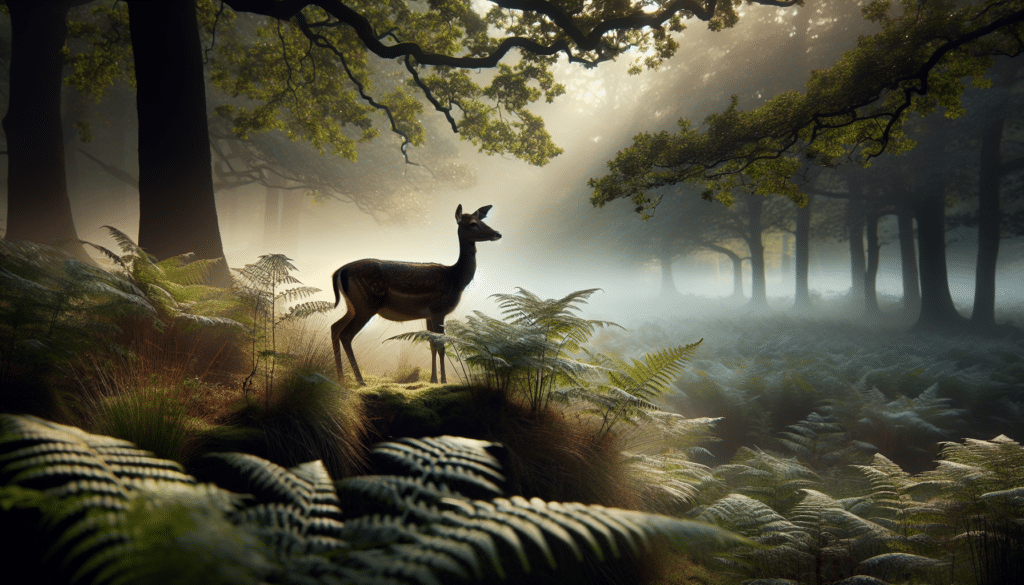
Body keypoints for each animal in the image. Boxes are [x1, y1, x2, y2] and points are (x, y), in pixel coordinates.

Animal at [331, 204, 502, 385]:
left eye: (482, 220)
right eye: (473, 224)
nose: (498, 233)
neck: (456, 279)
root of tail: (339, 271)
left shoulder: (428, 314)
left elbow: (432, 344)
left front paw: (433, 379)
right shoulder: (438, 309)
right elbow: (441, 345)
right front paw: (443, 380)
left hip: (353, 306)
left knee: (335, 327)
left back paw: (340, 378)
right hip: (366, 305)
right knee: (345, 335)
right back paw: (360, 381)